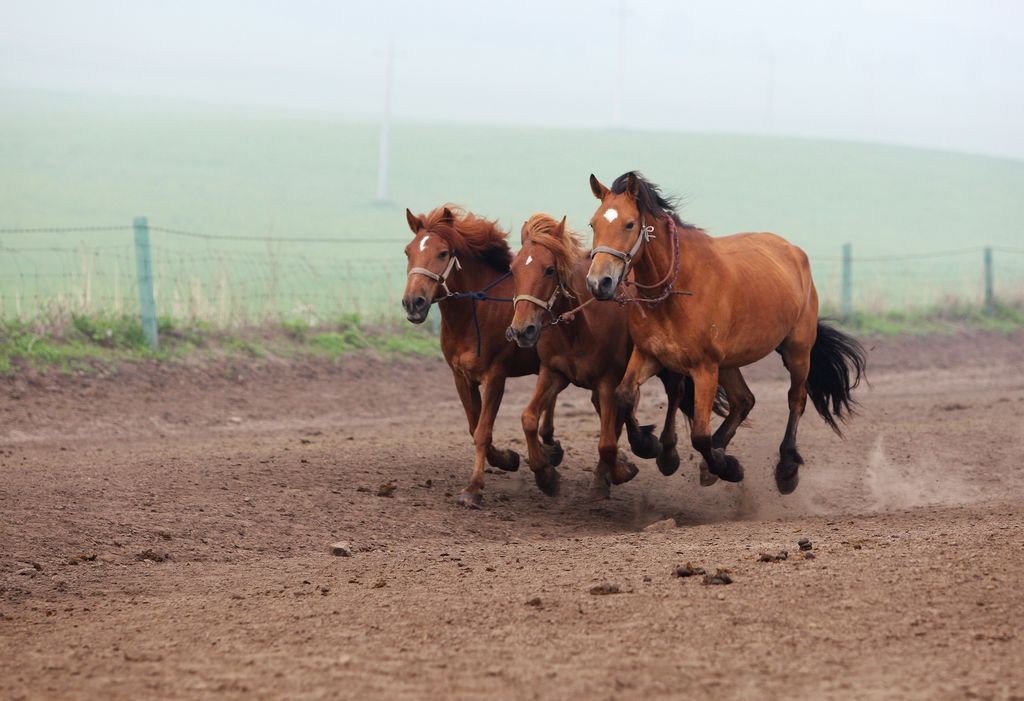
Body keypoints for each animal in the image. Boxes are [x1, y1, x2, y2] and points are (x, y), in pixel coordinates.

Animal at [399, 204, 565, 505]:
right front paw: (508, 458)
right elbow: (473, 426)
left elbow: (482, 431)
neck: (476, 310)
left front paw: (474, 487)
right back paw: (550, 449)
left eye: (443, 253)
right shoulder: (461, 377)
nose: (413, 302)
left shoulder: (496, 376)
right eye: (409, 251)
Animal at [585, 171, 864, 495]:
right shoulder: (649, 354)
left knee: (796, 398)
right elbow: (624, 396)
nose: (599, 282)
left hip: (797, 349)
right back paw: (714, 458)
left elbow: (699, 435)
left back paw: (785, 469)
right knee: (744, 400)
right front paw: (651, 446)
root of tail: (794, 251)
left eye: (629, 224)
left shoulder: (705, 368)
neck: (676, 289)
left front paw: (727, 466)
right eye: (594, 224)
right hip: (730, 361)